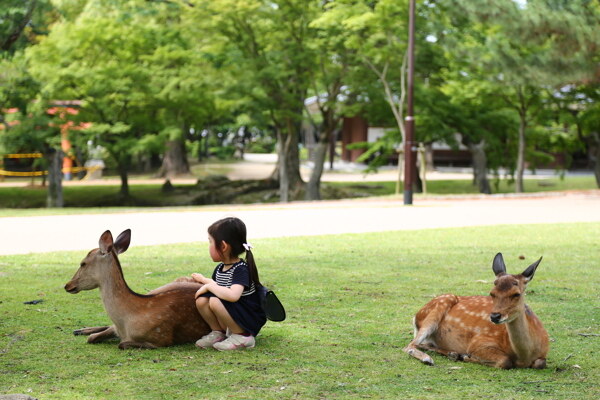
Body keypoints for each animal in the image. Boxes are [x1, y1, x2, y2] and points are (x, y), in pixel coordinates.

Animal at [64, 230, 210, 348]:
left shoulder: (162, 338)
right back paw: (80, 330)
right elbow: (92, 338)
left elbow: (121, 344)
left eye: (83, 263)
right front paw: (85, 332)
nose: (67, 285)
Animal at [404, 253, 548, 368]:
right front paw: (466, 357)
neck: (524, 356)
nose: (495, 316)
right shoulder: (478, 342)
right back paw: (429, 359)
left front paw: (462, 356)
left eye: (516, 294)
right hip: (440, 305)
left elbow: (540, 363)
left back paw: (453, 354)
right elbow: (505, 361)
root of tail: (416, 316)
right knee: (410, 345)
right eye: (492, 293)